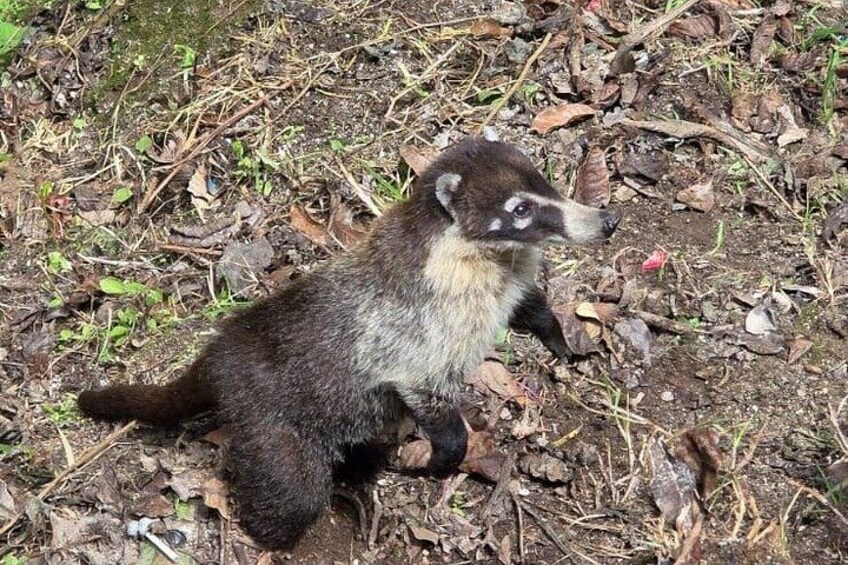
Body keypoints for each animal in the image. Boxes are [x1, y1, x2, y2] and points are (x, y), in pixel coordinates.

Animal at [77, 137, 620, 550]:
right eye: (520, 209)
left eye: (545, 182)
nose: (607, 221)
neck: (489, 257)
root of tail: (219, 353)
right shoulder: (417, 329)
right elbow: (425, 390)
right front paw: (445, 456)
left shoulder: (507, 282)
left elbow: (528, 303)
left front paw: (555, 332)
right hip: (270, 424)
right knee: (290, 494)